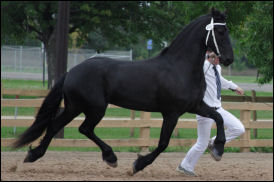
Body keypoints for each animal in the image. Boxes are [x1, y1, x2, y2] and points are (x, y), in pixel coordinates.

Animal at [13, 8, 233, 175]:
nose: (229, 59)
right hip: (95, 108)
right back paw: (110, 157)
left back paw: (33, 155)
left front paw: (218, 149)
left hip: (74, 107)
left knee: (55, 125)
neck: (180, 67)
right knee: (84, 129)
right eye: (221, 32)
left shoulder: (195, 106)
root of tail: (72, 72)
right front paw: (137, 165)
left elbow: (218, 117)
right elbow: (163, 143)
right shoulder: (171, 113)